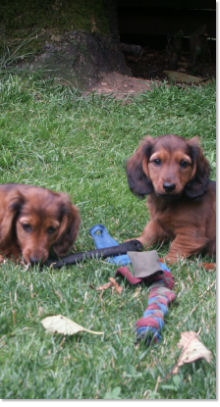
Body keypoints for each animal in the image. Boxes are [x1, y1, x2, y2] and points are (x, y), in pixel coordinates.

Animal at [126, 135, 216, 264]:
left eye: (184, 163)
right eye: (157, 161)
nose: (169, 186)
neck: (170, 202)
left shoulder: (191, 233)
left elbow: (177, 247)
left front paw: (163, 261)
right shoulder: (157, 221)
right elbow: (150, 232)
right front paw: (135, 242)